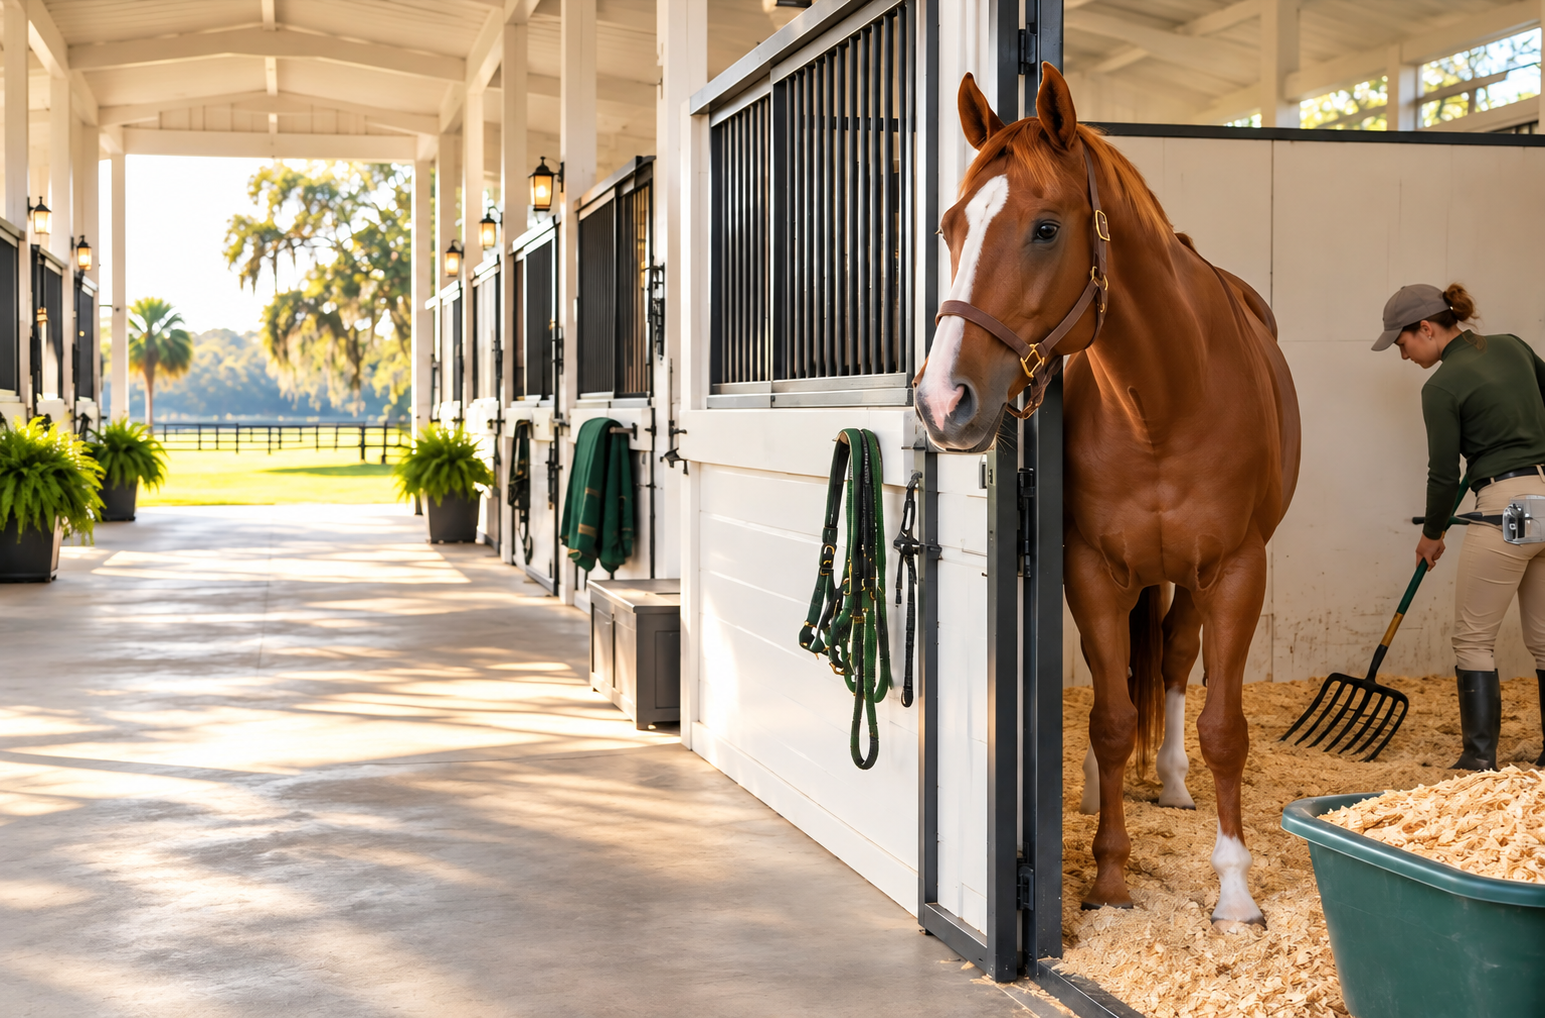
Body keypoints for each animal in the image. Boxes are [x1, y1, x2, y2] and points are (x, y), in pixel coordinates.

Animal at [914, 65, 1301, 930]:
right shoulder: (1089, 569)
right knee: (1118, 683)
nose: (941, 401)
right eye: (951, 226)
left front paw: (1234, 892)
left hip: (1191, 578)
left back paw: (1173, 778)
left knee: (1175, 660)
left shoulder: (1239, 571)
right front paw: (1109, 878)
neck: (1163, 400)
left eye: (1045, 228)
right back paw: (1098, 786)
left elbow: (1224, 728)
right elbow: (1110, 715)